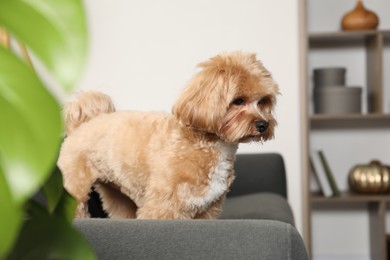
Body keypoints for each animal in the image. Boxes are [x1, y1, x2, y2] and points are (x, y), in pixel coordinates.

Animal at [57, 49, 278, 218]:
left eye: (263, 101)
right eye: (238, 101)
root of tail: (84, 123)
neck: (207, 143)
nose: (263, 124)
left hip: (116, 192)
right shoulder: (163, 206)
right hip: (74, 186)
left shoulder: (206, 210)